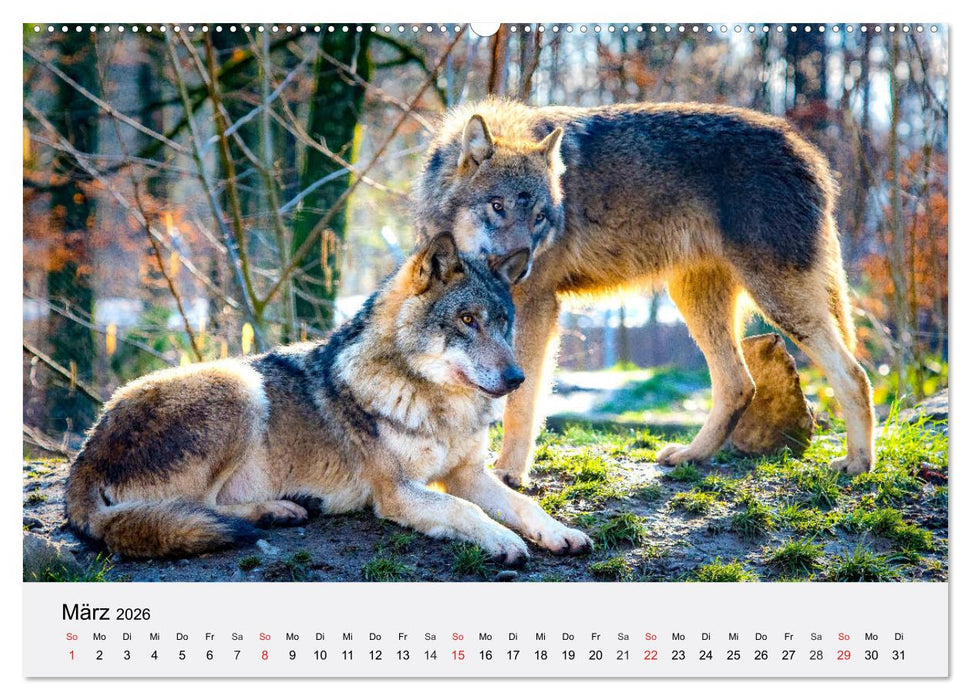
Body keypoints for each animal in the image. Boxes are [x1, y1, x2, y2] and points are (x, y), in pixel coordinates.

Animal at [65, 233, 592, 562]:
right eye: (467, 320)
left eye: (503, 324)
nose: (518, 377)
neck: (437, 404)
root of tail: (85, 454)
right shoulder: (397, 492)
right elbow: (466, 511)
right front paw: (503, 541)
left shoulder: (467, 474)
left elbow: (523, 505)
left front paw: (560, 533)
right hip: (239, 385)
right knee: (198, 509)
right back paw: (277, 510)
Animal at [415, 99, 875, 486]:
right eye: (498, 206)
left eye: (541, 217)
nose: (521, 265)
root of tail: (809, 151)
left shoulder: (537, 306)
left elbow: (521, 400)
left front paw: (509, 473)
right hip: (696, 301)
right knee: (739, 384)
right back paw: (691, 456)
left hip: (778, 301)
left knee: (854, 374)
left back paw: (858, 463)